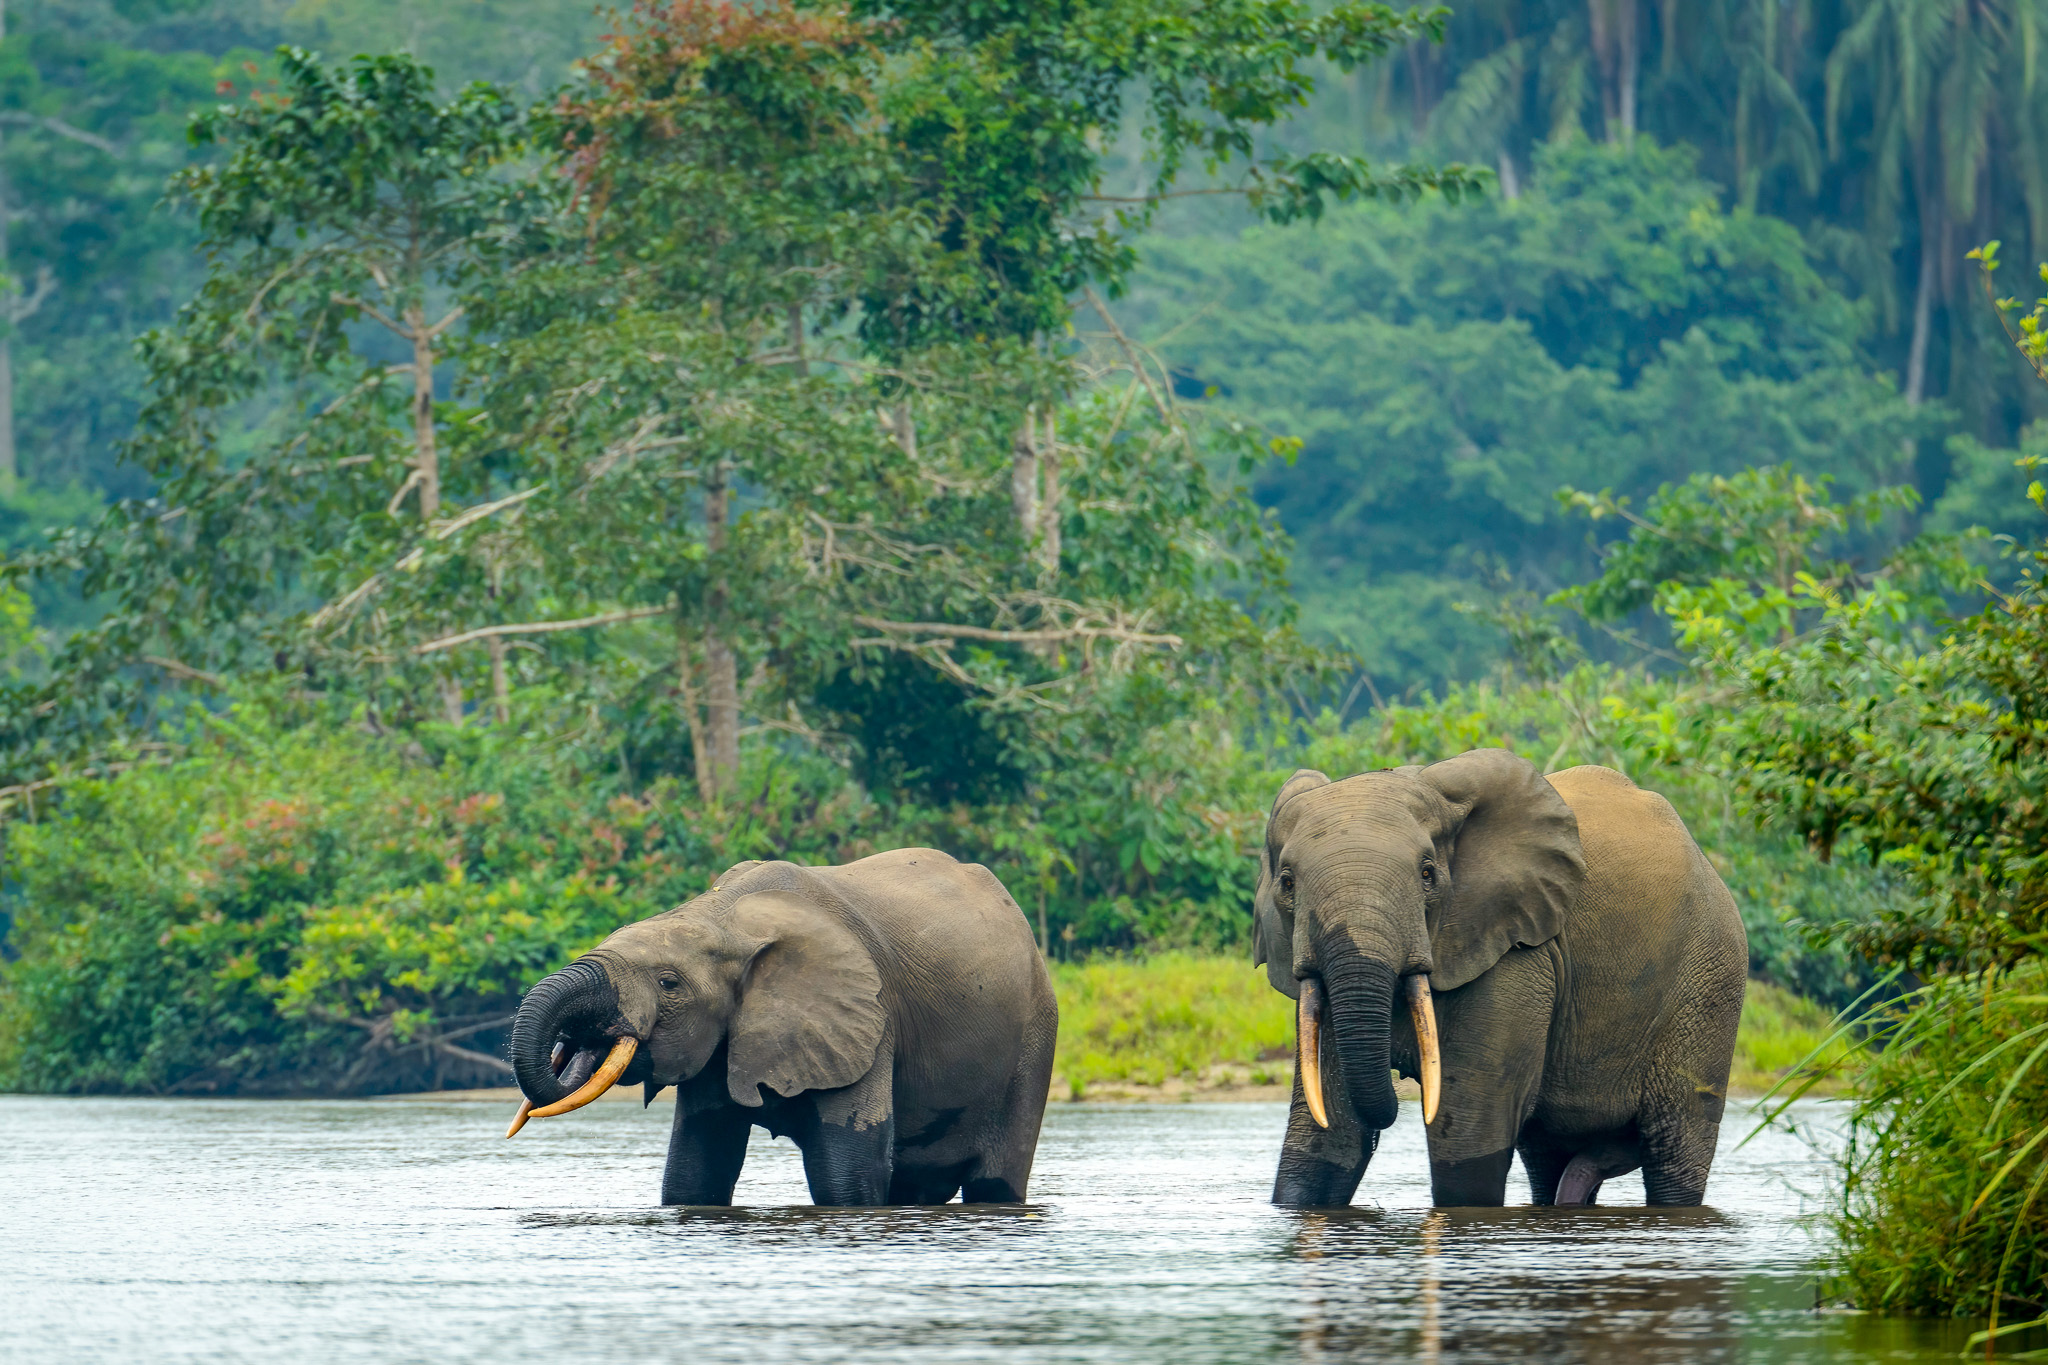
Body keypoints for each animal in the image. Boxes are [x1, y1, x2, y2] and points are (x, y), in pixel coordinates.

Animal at [504, 848, 1057, 1207]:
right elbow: (696, 1167)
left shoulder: (867, 1021)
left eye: (668, 983)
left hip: (1036, 1037)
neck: (725, 918)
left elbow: (847, 1175)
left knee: (995, 1181)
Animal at [1253, 748, 1747, 1208]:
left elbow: (1469, 1138)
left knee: (1675, 1149)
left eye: (1427, 874)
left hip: (1710, 978)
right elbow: (1323, 1142)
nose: (1398, 1091)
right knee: (1549, 1157)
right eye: (1287, 883)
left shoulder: (1519, 957)